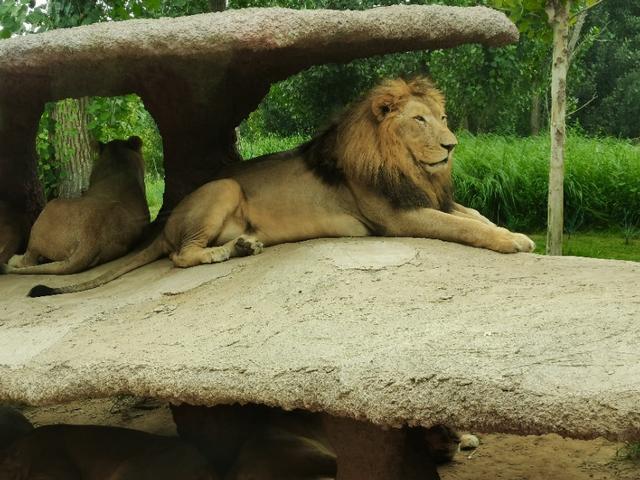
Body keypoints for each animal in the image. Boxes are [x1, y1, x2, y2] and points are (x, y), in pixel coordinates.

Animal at [27, 78, 532, 296]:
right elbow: (466, 228)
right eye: (419, 120)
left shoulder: (426, 197)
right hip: (224, 187)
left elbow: (475, 215)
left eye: (443, 117)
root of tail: (165, 225)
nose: (452, 144)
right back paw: (221, 254)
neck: (409, 167)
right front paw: (509, 242)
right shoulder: (398, 216)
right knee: (180, 256)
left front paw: (517, 234)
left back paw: (243, 246)